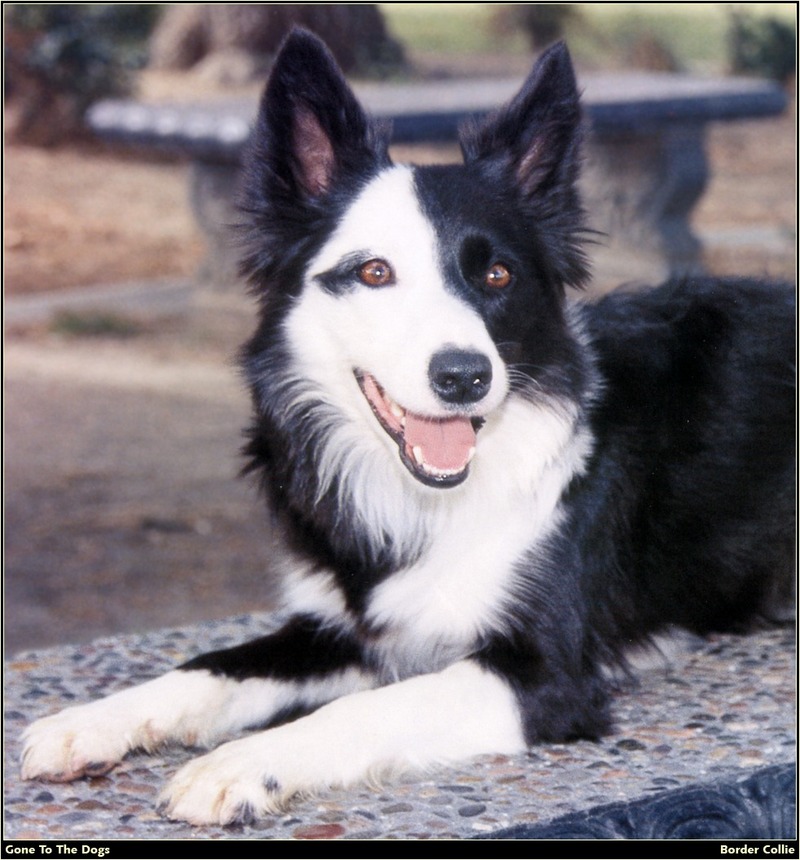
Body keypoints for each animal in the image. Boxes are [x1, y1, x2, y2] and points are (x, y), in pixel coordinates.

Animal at [20, 33, 792, 828]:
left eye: (498, 276)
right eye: (374, 272)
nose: (464, 376)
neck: (432, 497)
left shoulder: (545, 675)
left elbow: (362, 710)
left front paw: (238, 763)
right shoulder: (339, 626)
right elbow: (213, 666)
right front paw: (91, 720)